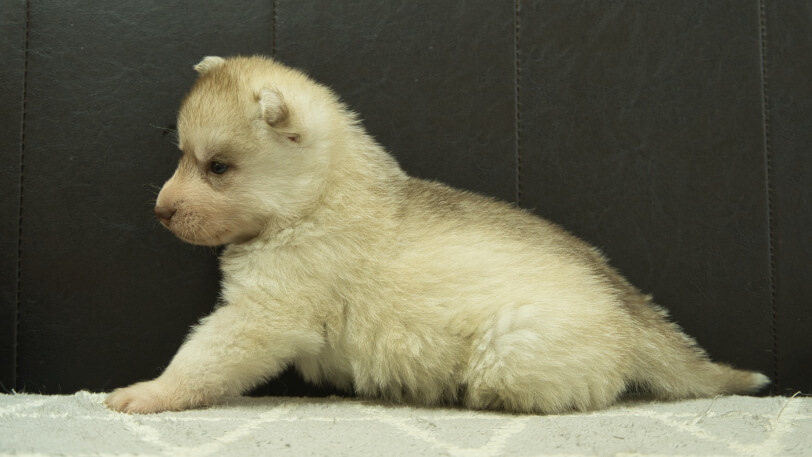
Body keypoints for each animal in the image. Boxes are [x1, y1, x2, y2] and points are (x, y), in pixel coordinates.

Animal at [104, 56, 772, 414]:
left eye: (217, 167)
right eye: (182, 156)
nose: (160, 212)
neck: (314, 198)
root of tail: (628, 306)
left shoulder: (265, 315)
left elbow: (203, 357)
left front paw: (150, 392)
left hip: (512, 347)